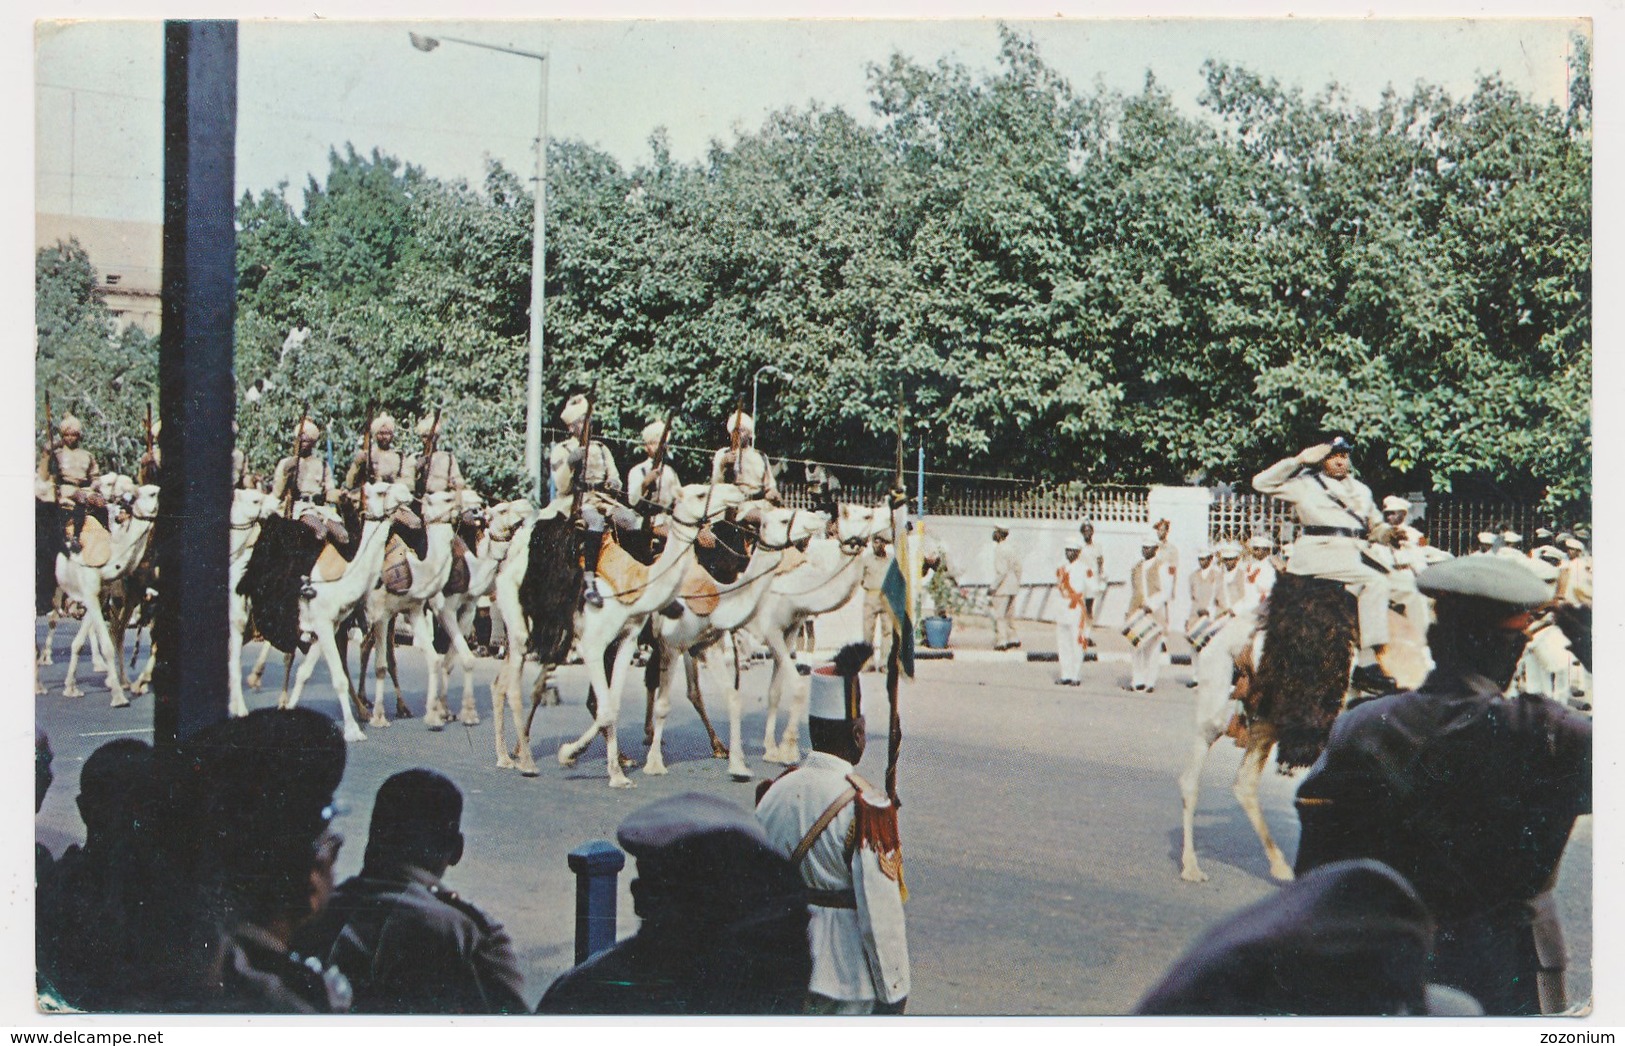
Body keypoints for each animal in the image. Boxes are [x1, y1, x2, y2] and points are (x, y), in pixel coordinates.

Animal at [56, 480, 159, 708]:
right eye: (150, 494)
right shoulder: (94, 591)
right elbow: (105, 642)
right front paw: (119, 697)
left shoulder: (102, 593)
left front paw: (71, 687)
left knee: (117, 632)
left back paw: (124, 681)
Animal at [279, 480, 409, 743]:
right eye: (381, 491)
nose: (407, 491)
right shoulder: (324, 623)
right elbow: (338, 676)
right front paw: (353, 731)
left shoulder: (329, 626)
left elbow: (306, 672)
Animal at [490, 487, 744, 779]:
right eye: (701, 494)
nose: (736, 492)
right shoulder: (657, 643)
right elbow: (688, 692)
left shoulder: (659, 641)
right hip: (522, 627)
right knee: (519, 688)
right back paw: (521, 759)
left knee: (509, 684)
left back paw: (512, 753)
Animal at [643, 503, 825, 779]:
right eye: (783, 519)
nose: (819, 517)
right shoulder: (672, 646)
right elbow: (665, 702)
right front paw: (654, 763)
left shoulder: (705, 645)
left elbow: (733, 695)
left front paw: (744, 760)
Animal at [747, 503, 890, 760]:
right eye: (866, 515)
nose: (891, 514)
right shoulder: (770, 630)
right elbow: (798, 687)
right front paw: (789, 750)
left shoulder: (789, 630)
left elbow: (775, 691)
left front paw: (772, 749)